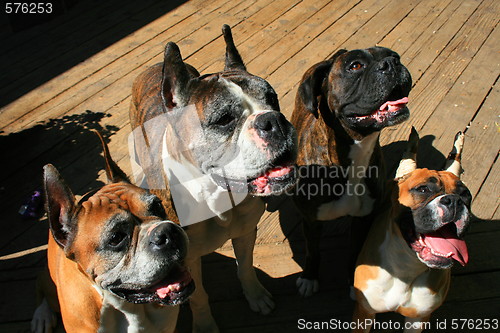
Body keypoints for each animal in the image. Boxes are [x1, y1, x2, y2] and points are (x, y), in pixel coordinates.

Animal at [128, 24, 296, 330]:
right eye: (224, 119)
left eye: (273, 98)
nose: (273, 120)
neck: (217, 194)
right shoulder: (186, 261)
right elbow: (198, 298)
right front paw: (205, 325)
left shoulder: (245, 232)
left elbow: (246, 268)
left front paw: (255, 296)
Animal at [292, 45, 412, 294]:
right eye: (355, 66)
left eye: (394, 55)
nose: (392, 63)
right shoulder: (311, 220)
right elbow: (312, 251)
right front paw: (309, 277)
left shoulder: (363, 218)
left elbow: (355, 253)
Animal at [352, 128, 472, 332]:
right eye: (423, 189)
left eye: (466, 195)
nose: (455, 201)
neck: (407, 268)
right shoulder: (364, 313)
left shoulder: (417, 320)